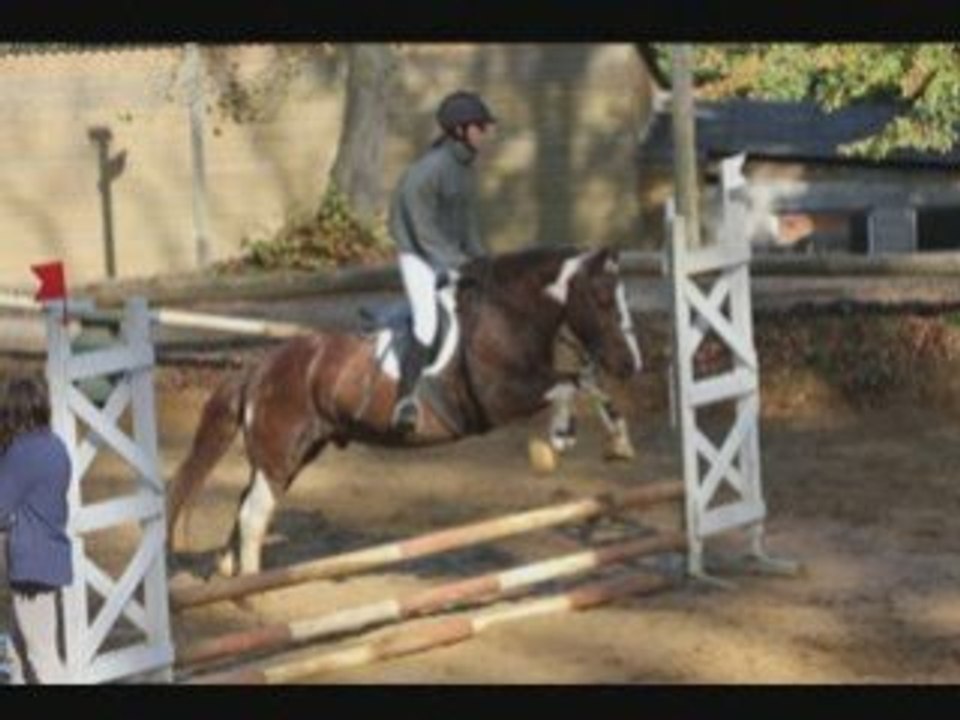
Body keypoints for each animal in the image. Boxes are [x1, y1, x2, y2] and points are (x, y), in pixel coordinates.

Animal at [167, 245, 644, 579]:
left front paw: (618, 443)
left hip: (292, 453)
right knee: (253, 515)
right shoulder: (500, 397)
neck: (508, 315)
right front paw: (561, 434)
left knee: (246, 504)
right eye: (603, 299)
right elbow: (569, 384)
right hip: (280, 453)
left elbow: (587, 384)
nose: (631, 364)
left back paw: (229, 574)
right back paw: (255, 592)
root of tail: (260, 367)